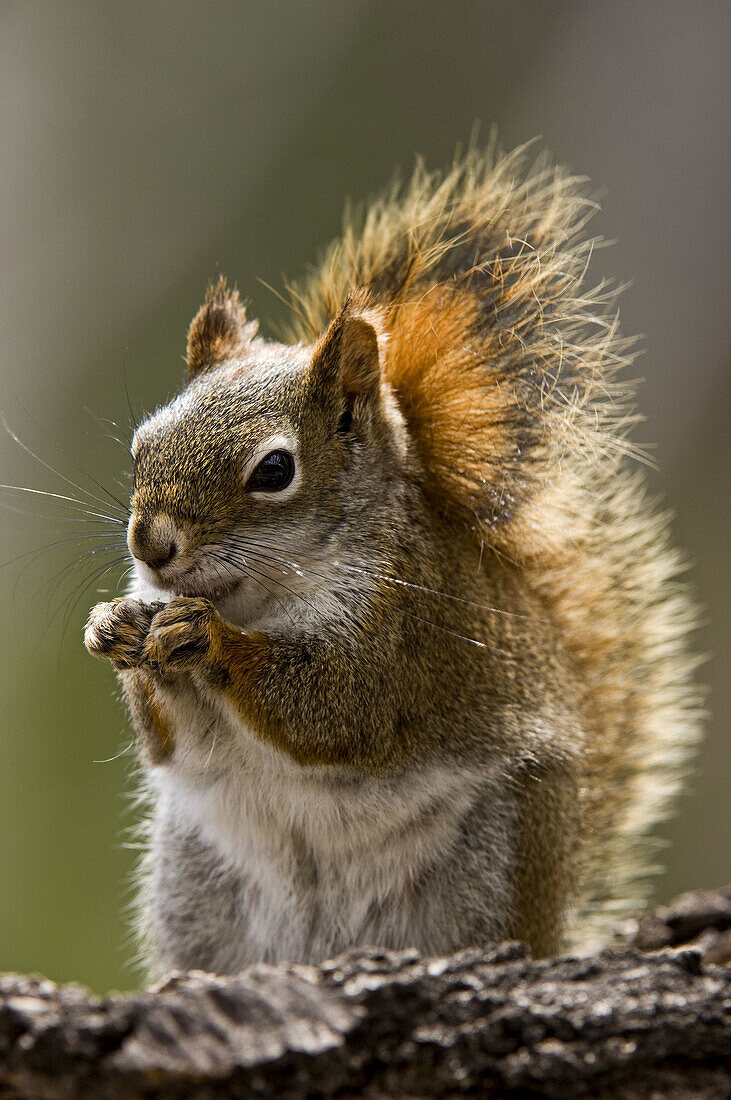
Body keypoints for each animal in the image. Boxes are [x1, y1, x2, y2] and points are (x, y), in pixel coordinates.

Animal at [85, 144, 703, 972]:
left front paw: (210, 643)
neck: (256, 594)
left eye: (273, 470)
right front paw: (115, 627)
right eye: (140, 445)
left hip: (493, 861)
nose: (150, 546)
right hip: (193, 885)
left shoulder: (404, 622)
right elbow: (168, 739)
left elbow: (338, 707)